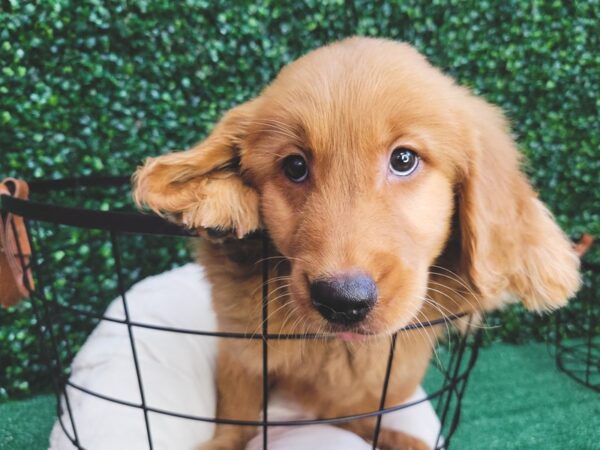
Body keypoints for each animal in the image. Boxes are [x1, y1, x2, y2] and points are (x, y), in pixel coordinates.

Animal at [132, 37, 580, 448]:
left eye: (404, 159)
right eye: (294, 166)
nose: (342, 301)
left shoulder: (372, 391)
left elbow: (365, 422)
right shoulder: (241, 354)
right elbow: (234, 425)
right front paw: (218, 196)